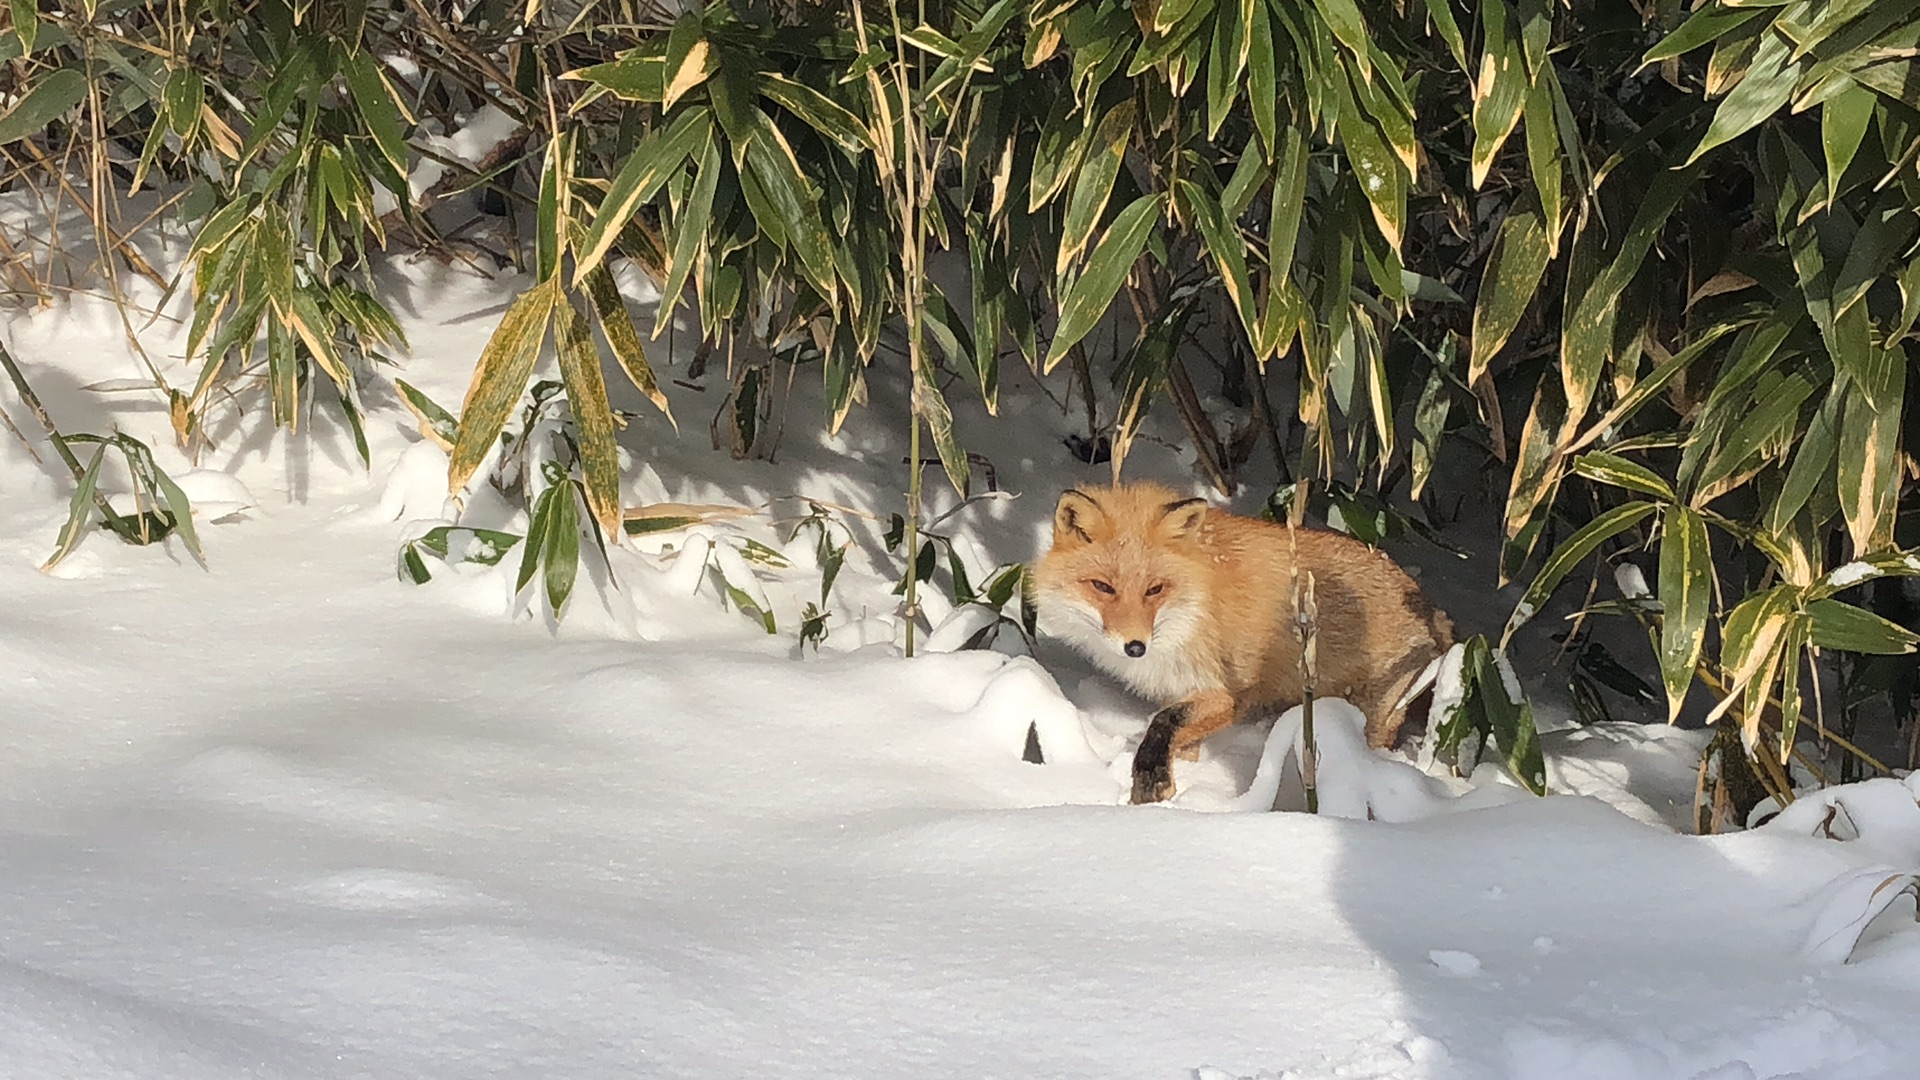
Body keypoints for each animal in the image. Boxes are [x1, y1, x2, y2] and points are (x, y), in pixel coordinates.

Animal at [1036, 484, 1451, 803]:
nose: (1135, 647)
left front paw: (1151, 785)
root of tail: (1429, 605)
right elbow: (1175, 737)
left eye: (1154, 589)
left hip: (1374, 715)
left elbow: (1162, 724)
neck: (1193, 607)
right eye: (1102, 587)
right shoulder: (1183, 692)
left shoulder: (1227, 695)